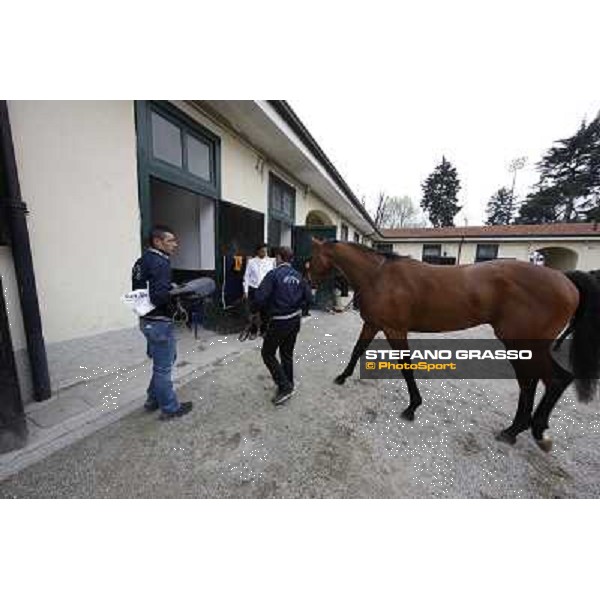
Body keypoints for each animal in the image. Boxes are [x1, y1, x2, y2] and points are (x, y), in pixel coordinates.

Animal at [310, 238, 600, 450]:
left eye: (311, 259)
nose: (310, 282)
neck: (379, 277)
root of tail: (566, 280)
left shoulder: (395, 330)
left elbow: (405, 366)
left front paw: (412, 406)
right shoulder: (373, 324)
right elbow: (357, 350)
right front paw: (343, 376)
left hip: (524, 345)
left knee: (539, 382)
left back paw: (516, 431)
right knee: (551, 381)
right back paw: (533, 429)